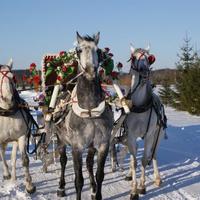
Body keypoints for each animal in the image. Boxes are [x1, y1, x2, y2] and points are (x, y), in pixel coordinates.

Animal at [0, 59, 35, 194]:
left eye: (12, 77)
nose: (8, 98)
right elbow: (2, 157)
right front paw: (6, 174)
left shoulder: (21, 137)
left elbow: (24, 160)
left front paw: (29, 186)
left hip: (13, 140)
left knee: (13, 158)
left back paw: (14, 178)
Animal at [55, 32, 113, 199]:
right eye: (78, 50)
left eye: (98, 50)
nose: (90, 71)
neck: (90, 111)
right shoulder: (77, 147)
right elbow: (79, 180)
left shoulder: (102, 145)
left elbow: (100, 175)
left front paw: (97, 193)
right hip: (60, 139)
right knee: (63, 161)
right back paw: (61, 187)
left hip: (92, 147)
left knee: (88, 164)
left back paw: (93, 188)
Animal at [111, 45, 166, 200]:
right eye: (133, 57)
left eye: (149, 58)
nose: (144, 72)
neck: (141, 106)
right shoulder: (130, 136)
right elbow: (134, 161)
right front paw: (134, 189)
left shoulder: (149, 135)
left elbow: (144, 160)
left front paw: (142, 186)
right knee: (132, 154)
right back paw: (130, 174)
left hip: (158, 135)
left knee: (153, 155)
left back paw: (157, 178)